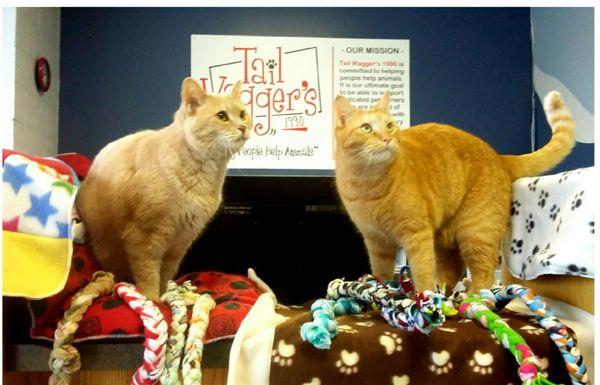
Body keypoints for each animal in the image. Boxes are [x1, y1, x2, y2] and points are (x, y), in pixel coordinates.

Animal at [77, 78, 251, 300]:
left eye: (242, 114)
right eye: (222, 116)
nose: (243, 127)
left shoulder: (179, 244)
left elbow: (165, 275)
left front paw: (164, 296)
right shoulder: (143, 239)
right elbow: (148, 276)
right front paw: (152, 301)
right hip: (107, 251)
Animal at [336, 91, 576, 292]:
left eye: (389, 125)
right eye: (366, 128)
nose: (387, 139)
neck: (368, 183)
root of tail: (498, 155)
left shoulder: (417, 235)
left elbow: (422, 271)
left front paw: (423, 296)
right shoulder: (376, 241)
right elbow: (381, 272)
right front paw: (380, 291)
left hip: (476, 232)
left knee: (484, 270)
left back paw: (475, 297)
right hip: (444, 240)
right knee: (455, 269)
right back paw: (447, 293)